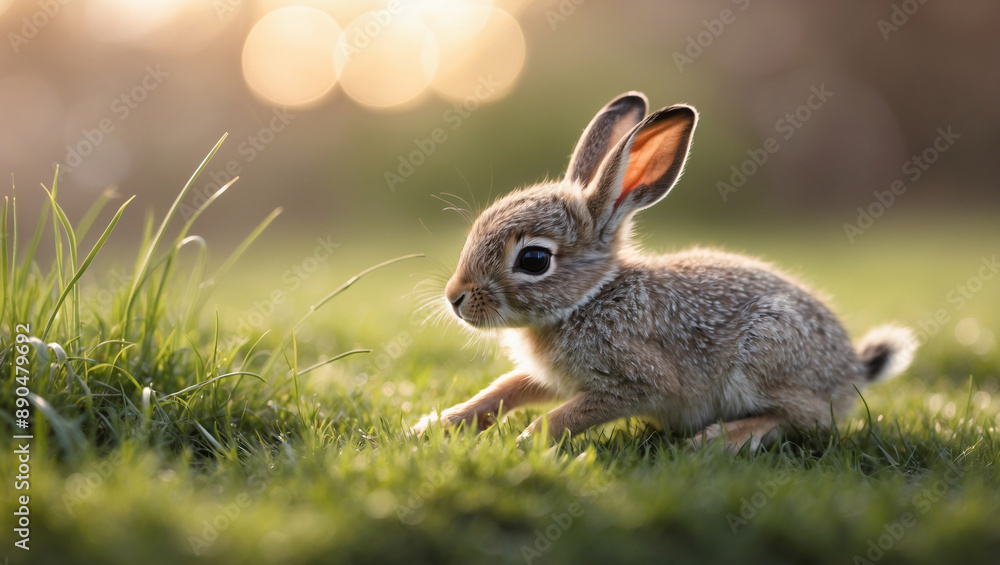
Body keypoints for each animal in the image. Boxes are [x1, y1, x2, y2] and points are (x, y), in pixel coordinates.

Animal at [411, 91, 917, 451]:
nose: (455, 298)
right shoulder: (552, 378)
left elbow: (563, 416)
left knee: (803, 417)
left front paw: (523, 444)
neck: (590, 298)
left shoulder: (636, 381)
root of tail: (852, 370)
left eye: (534, 260)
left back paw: (720, 440)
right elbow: (503, 391)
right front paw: (434, 426)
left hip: (766, 352)